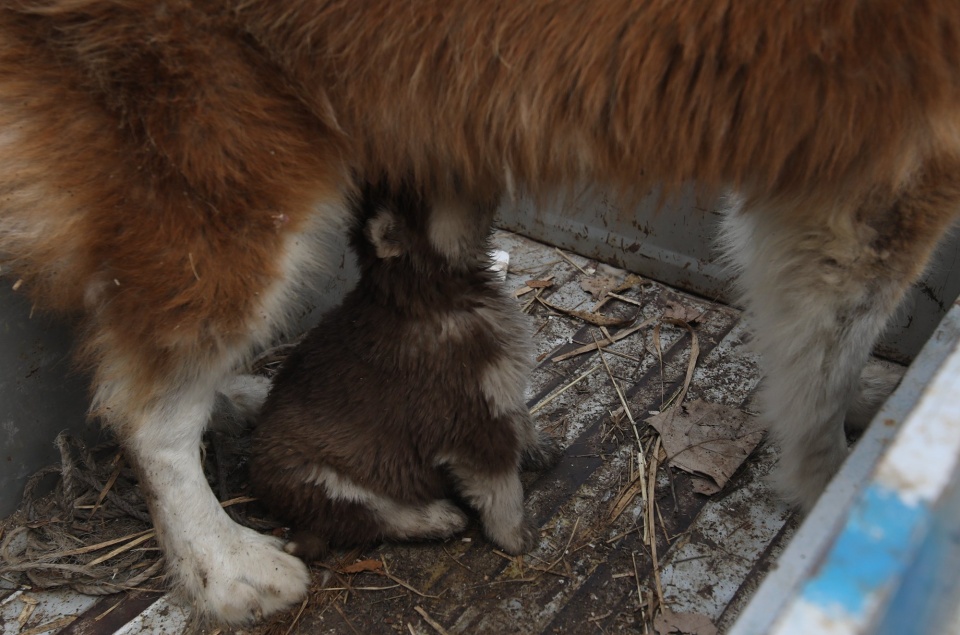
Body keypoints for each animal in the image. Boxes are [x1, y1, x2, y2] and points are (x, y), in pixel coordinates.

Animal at [1, 0, 960, 628]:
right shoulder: (888, 158)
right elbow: (830, 354)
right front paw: (835, 483)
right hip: (242, 177)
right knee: (145, 405)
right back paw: (230, 567)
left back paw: (242, 400)